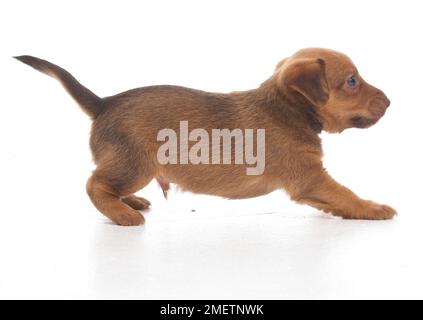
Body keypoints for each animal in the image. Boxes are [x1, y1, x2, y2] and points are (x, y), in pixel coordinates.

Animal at [14, 48, 398, 226]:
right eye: (352, 81)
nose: (391, 101)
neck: (287, 107)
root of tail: (103, 102)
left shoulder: (310, 185)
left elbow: (336, 201)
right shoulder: (311, 177)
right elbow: (346, 193)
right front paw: (374, 207)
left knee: (106, 183)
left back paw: (130, 202)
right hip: (135, 165)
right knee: (95, 184)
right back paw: (123, 214)